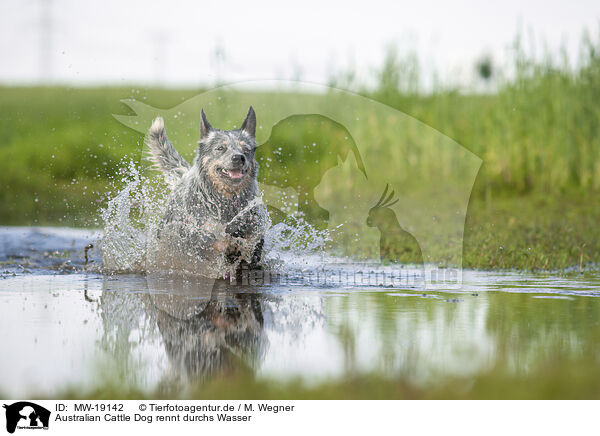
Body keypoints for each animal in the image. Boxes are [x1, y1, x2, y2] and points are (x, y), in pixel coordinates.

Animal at [145, 106, 264, 276]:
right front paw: (227, 245)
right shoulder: (191, 232)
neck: (226, 201)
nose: (238, 157)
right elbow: (209, 239)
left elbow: (254, 242)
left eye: (246, 149)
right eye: (220, 148)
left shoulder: (252, 224)